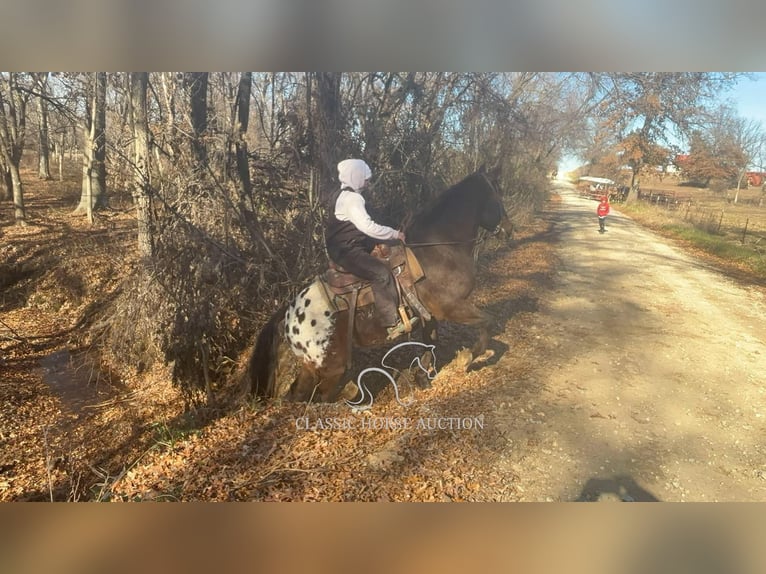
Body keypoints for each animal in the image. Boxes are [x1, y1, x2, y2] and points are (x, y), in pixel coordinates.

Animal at [249, 164, 512, 402]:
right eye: (498, 195)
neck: (439, 248)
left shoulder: (430, 314)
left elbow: (430, 343)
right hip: (329, 366)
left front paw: (423, 378)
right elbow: (487, 322)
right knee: (309, 395)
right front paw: (466, 359)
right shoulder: (452, 307)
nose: (509, 230)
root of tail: (289, 314)